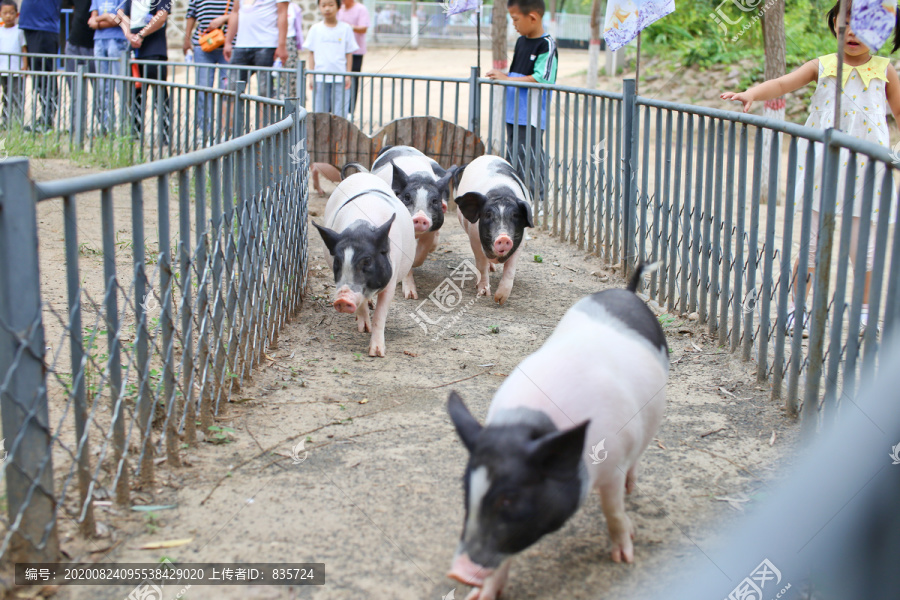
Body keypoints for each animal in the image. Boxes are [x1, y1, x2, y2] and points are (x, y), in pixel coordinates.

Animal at [312, 171, 416, 356]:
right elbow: (361, 305)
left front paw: (377, 353)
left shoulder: (391, 279)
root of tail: (361, 173)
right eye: (338, 261)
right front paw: (364, 329)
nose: (342, 299)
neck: (359, 231)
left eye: (367, 261)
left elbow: (380, 314)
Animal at [370, 146, 460, 300]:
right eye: (407, 197)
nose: (421, 217)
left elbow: (423, 250)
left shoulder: (432, 229)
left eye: (435, 200)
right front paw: (410, 296)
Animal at [444, 264, 664, 600]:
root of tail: (627, 291)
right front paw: (480, 596)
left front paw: (624, 558)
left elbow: (613, 510)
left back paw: (631, 489)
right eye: (466, 489)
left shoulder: (612, 464)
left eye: (510, 498)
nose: (457, 571)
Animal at [454, 155, 532, 304]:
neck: (501, 193)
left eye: (515, 216)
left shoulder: (520, 242)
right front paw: (484, 294)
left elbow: (510, 269)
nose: (503, 237)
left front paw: (500, 299)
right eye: (487, 215)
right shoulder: (475, 240)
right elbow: (481, 264)